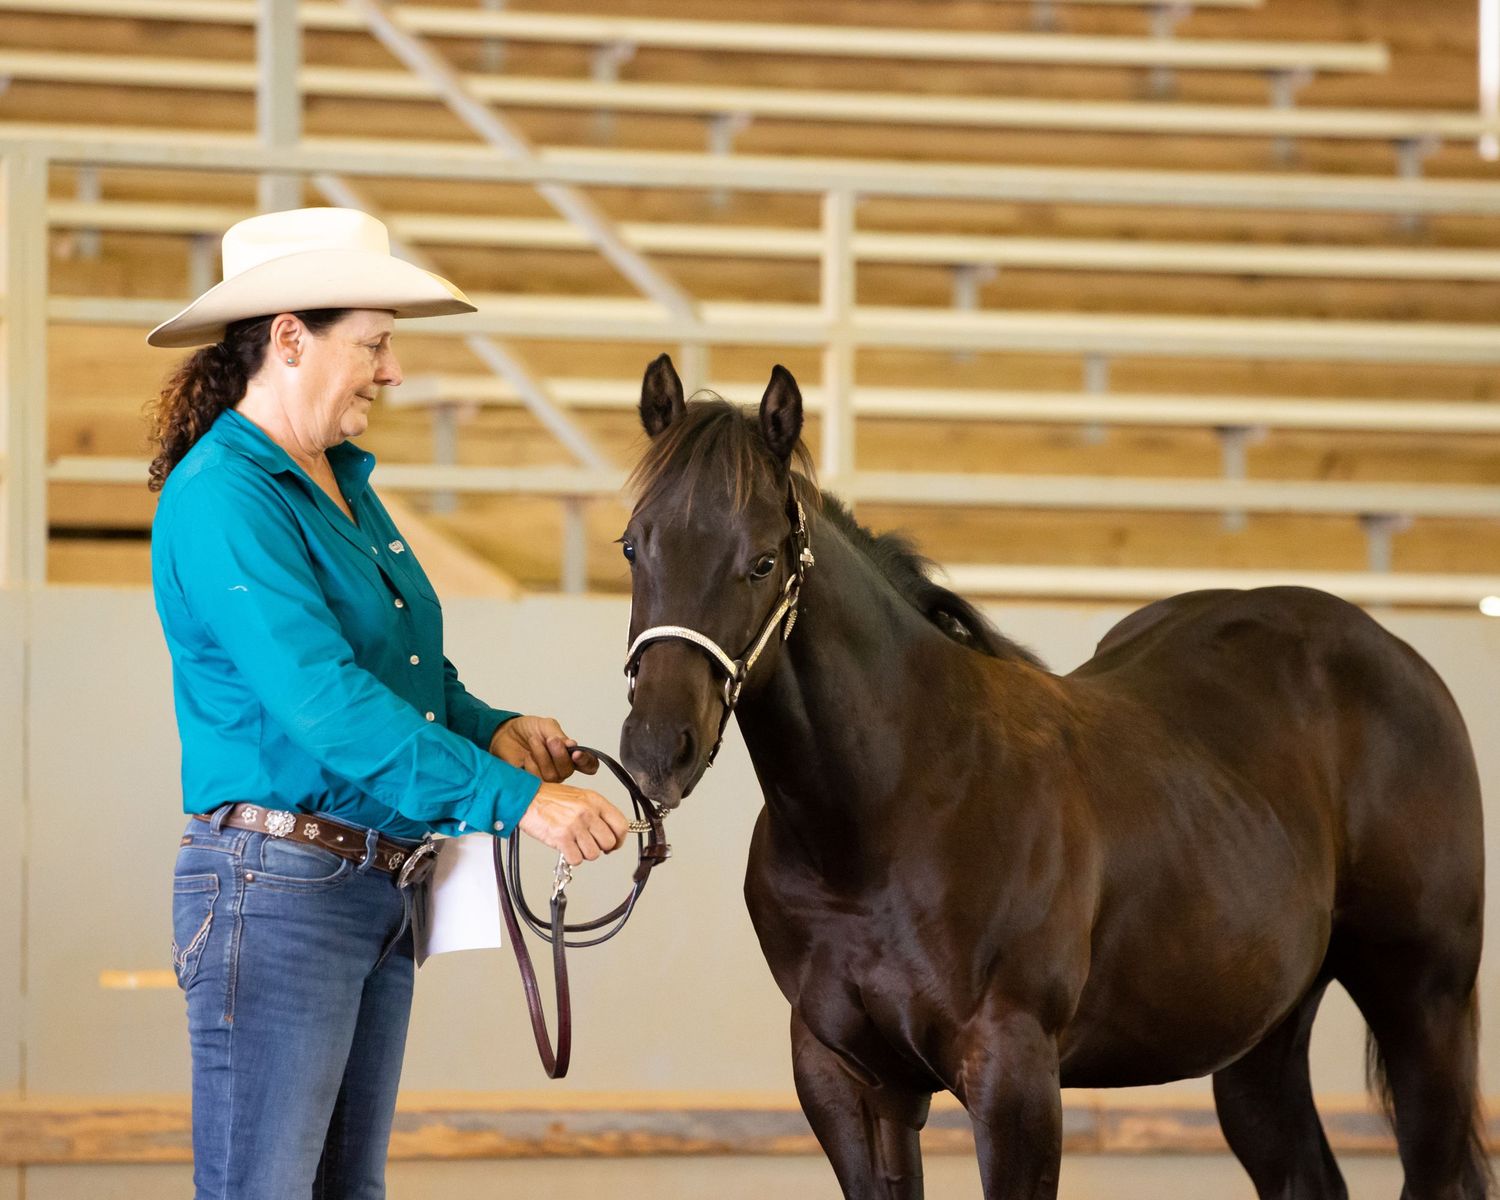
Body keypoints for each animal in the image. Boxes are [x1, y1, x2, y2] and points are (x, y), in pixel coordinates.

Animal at [616, 353, 1489, 1200]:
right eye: (632, 546)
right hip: (1261, 1039)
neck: (889, 814)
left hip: (1425, 1007)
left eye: (761, 561)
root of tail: (1398, 659)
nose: (657, 747)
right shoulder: (847, 1078)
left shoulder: (1015, 1075)